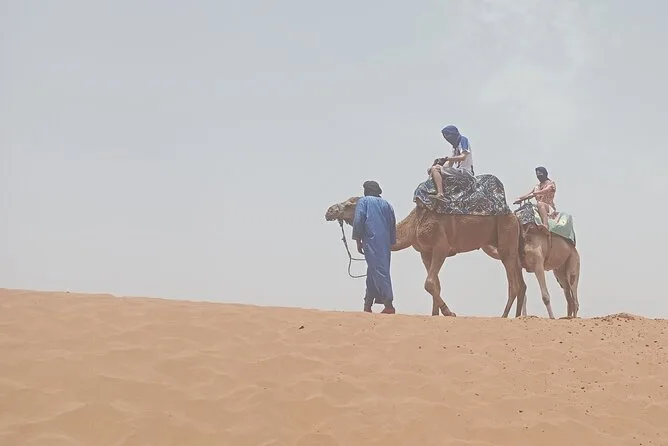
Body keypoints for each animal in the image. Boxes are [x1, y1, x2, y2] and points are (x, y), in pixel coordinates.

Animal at [325, 196, 527, 318]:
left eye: (349, 204)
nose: (329, 211)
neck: (414, 224)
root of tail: (515, 217)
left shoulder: (440, 247)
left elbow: (429, 283)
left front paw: (448, 312)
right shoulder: (425, 252)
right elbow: (435, 283)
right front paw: (435, 314)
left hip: (506, 240)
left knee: (514, 283)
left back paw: (504, 316)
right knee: (520, 282)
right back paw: (517, 317)